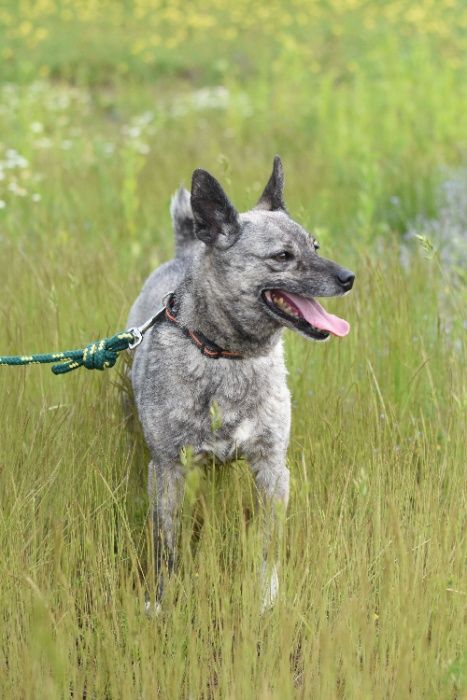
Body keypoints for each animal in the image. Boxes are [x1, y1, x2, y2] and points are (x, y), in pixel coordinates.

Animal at [128, 156, 354, 608]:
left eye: (315, 246)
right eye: (283, 256)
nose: (349, 277)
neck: (226, 355)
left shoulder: (271, 467)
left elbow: (269, 543)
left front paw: (267, 598)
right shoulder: (167, 471)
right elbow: (166, 545)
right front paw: (161, 600)